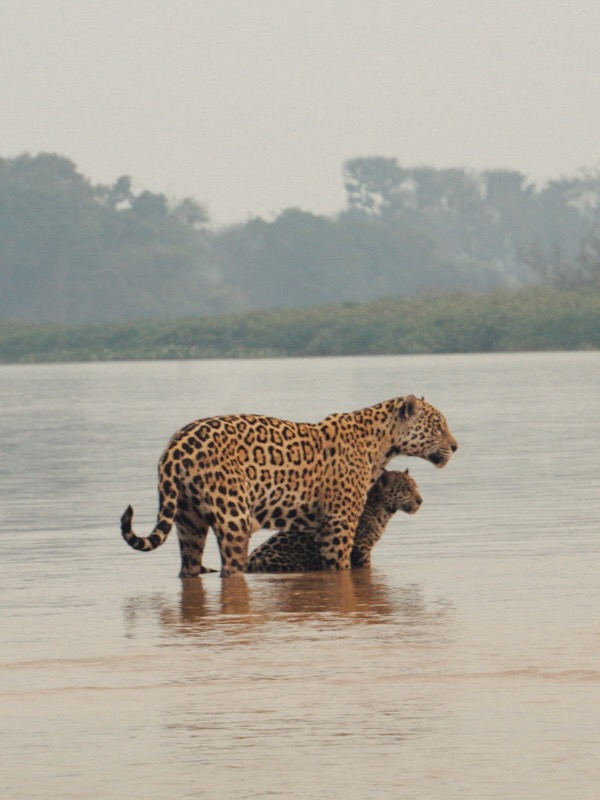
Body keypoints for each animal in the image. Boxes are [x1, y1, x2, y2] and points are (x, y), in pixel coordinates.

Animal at [245, 468, 422, 573]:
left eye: (416, 486)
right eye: (406, 489)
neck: (383, 511)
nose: (420, 501)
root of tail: (248, 562)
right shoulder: (361, 548)